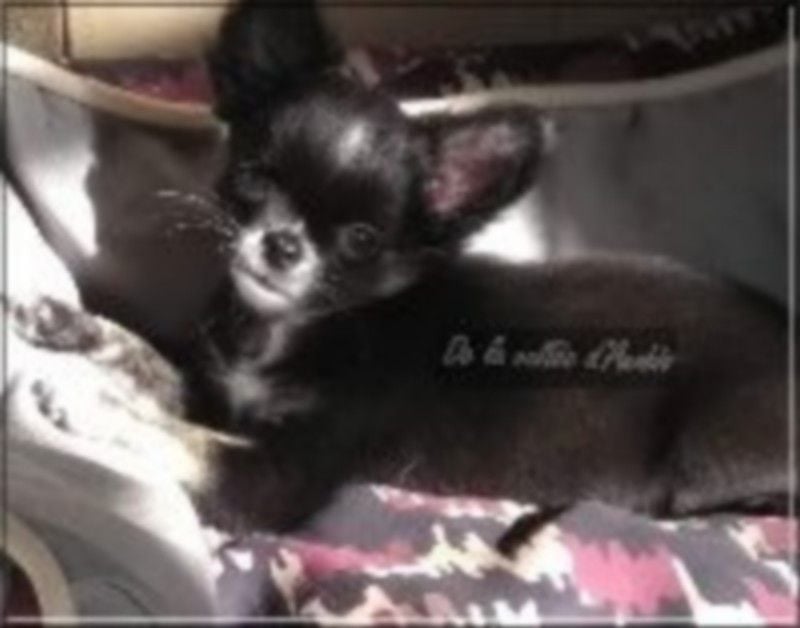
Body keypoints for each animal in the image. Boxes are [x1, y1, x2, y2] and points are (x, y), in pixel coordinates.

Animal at [183, 0, 791, 533]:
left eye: (361, 239)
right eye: (253, 179)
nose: (282, 244)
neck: (290, 331)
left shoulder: (282, 475)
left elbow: (188, 447)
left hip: (705, 453)